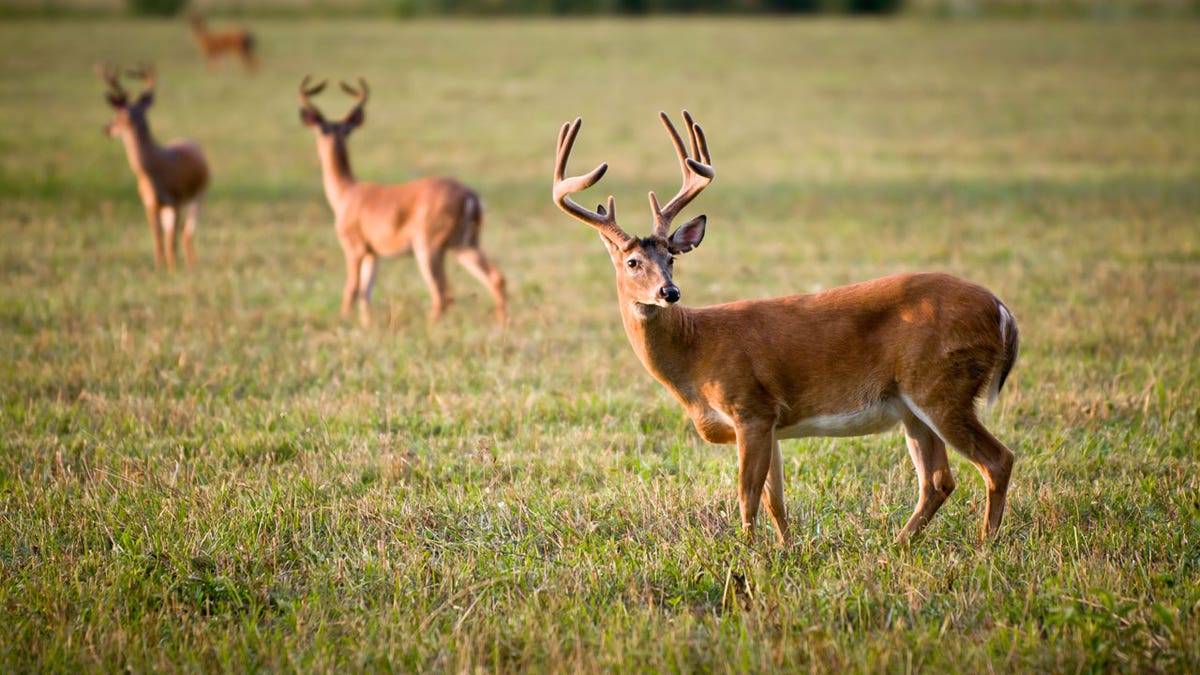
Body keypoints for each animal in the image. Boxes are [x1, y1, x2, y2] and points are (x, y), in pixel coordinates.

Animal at [100, 64, 211, 270]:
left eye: (118, 115)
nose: (106, 128)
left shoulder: (175, 200)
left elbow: (171, 241)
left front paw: (173, 270)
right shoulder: (150, 204)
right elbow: (158, 239)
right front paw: (160, 268)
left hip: (197, 196)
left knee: (186, 233)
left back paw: (192, 266)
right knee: (177, 233)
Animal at [302, 76, 508, 324]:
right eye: (325, 130)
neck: (346, 192)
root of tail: (471, 196)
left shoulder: (355, 246)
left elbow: (351, 288)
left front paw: (344, 322)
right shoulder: (373, 253)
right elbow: (366, 292)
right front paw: (366, 325)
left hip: (428, 246)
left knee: (442, 293)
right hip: (465, 244)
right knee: (496, 278)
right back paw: (502, 322)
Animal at [549, 110, 1017, 540]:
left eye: (670, 258)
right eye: (633, 262)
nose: (669, 292)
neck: (695, 350)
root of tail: (1001, 310)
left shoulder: (750, 407)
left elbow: (747, 496)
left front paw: (746, 553)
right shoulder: (771, 422)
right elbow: (776, 500)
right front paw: (785, 550)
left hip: (941, 386)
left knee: (997, 460)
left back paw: (985, 546)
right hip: (913, 405)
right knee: (938, 480)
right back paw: (900, 545)